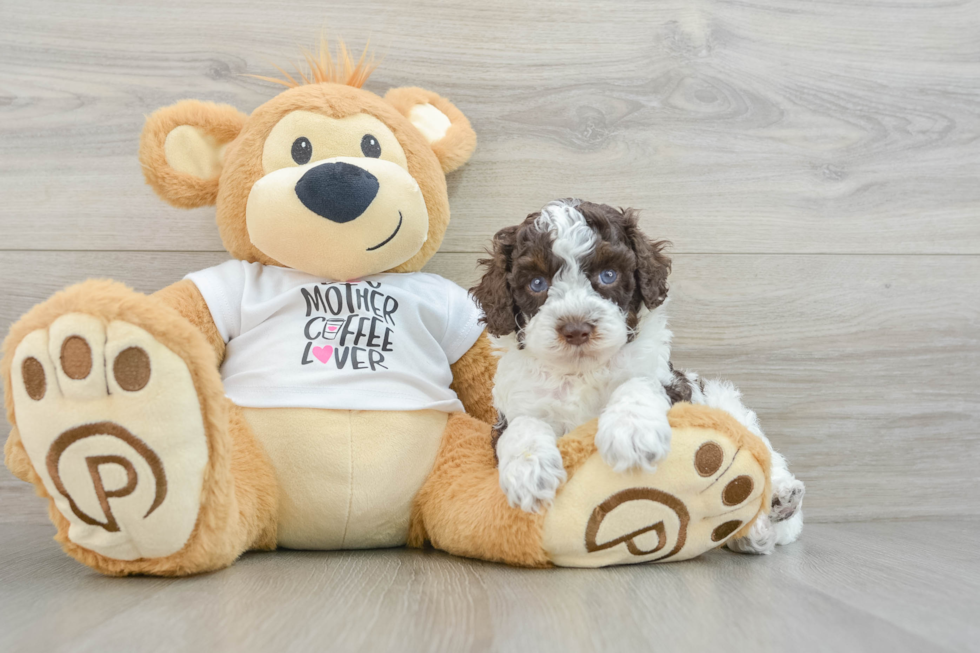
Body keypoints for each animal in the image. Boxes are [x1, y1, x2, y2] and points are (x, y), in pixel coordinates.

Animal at [472, 200, 804, 556]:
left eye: (608, 275)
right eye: (536, 283)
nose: (576, 329)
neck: (581, 371)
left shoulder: (673, 385)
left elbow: (637, 382)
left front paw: (631, 432)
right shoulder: (513, 408)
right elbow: (522, 425)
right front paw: (528, 471)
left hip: (724, 402)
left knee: (764, 455)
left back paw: (773, 509)